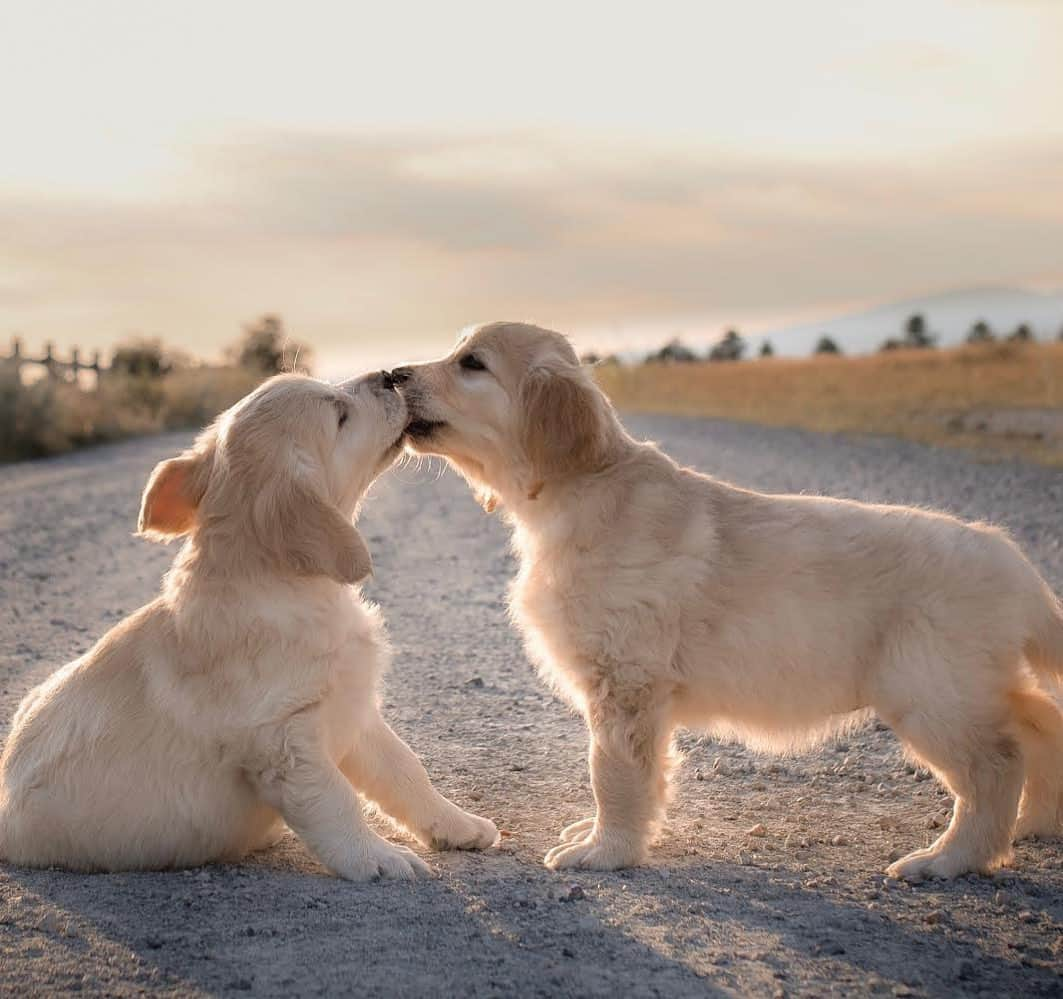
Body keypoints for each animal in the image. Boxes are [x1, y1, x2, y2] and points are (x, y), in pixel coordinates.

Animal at [0, 371, 497, 875]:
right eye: (340, 415)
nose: (391, 376)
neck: (286, 585)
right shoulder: (285, 744)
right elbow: (337, 800)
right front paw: (377, 858)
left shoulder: (354, 711)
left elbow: (405, 770)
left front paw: (457, 825)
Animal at [397, 320, 1063, 879]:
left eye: (472, 363)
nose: (395, 374)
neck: (582, 490)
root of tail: (1010, 557)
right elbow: (645, 776)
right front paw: (612, 835)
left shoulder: (626, 680)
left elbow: (611, 772)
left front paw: (605, 850)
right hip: (963, 685)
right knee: (1037, 721)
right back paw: (1034, 823)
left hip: (928, 690)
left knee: (997, 764)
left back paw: (949, 859)